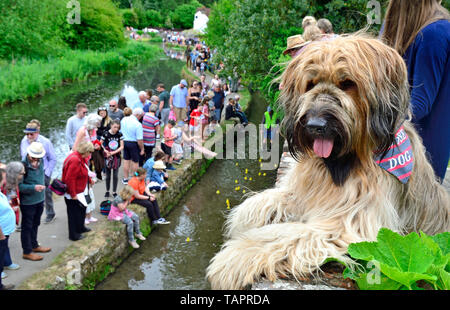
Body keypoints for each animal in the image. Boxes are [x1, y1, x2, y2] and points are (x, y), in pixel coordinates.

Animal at [207, 35, 450, 290]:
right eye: (310, 84)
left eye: (347, 83)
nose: (315, 125)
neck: (341, 162)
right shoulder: (306, 191)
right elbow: (270, 201)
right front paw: (242, 218)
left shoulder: (350, 223)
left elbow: (287, 234)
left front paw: (234, 257)